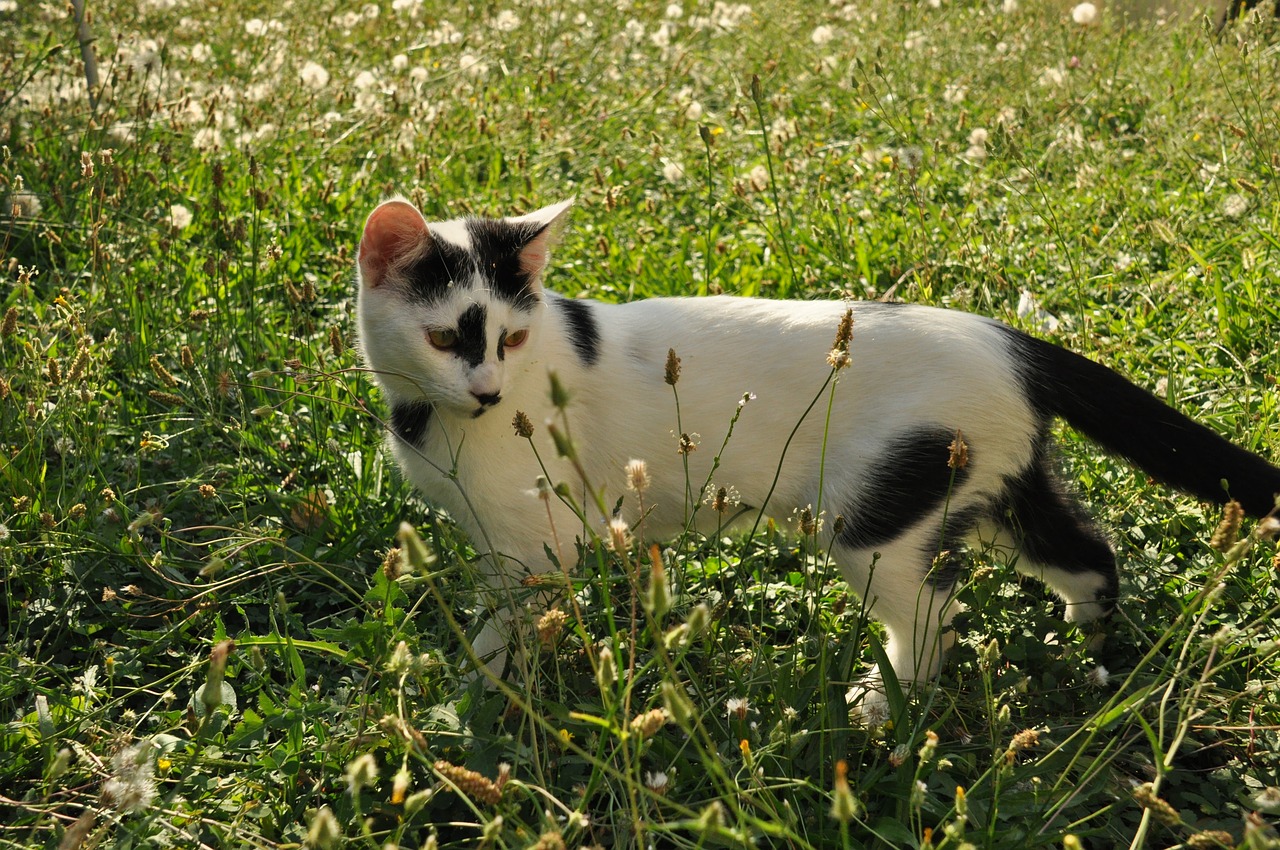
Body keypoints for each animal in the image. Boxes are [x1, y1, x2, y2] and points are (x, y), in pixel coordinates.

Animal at [355, 194, 1280, 716]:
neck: (432, 420)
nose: (489, 392)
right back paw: (1089, 641)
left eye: (508, 338)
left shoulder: (535, 542)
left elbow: (503, 628)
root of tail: (1011, 340)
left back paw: (880, 707)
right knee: (1086, 551)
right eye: (448, 338)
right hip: (995, 486)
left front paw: (474, 696)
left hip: (880, 517)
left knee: (936, 620)